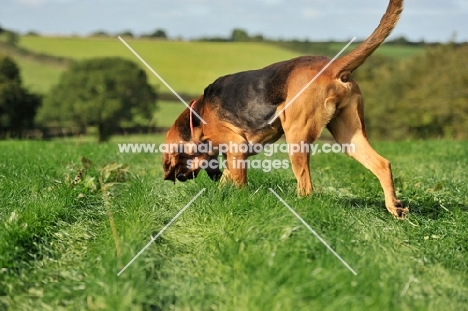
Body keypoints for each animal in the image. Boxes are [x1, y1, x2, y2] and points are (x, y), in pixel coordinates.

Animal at [165, 0, 410, 219]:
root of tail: (332, 66)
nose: (173, 178)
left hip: (296, 137)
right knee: (382, 164)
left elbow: (238, 182)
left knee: (306, 187)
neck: (198, 117)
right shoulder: (237, 153)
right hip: (350, 137)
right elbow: (228, 178)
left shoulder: (236, 146)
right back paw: (394, 207)